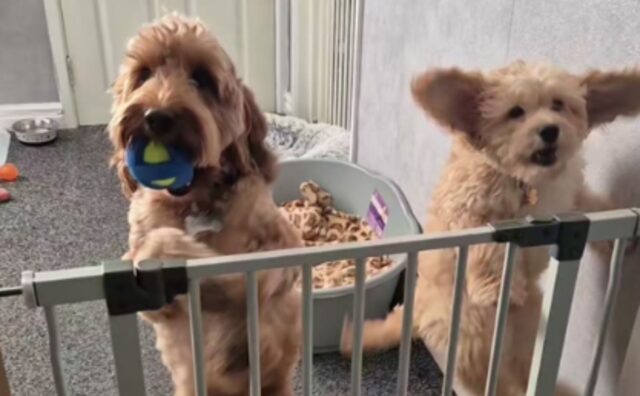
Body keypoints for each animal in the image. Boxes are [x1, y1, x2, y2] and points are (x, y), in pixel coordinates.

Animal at [108, 15, 302, 396]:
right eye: (143, 75)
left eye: (202, 78)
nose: (156, 116)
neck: (194, 201)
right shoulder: (153, 303)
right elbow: (155, 245)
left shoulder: (282, 245)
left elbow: (251, 277)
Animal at [342, 60, 640, 394]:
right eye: (515, 112)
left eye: (558, 105)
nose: (550, 130)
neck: (525, 179)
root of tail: (417, 309)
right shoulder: (468, 213)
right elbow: (489, 248)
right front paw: (498, 287)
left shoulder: (570, 195)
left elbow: (591, 205)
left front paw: (619, 241)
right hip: (469, 341)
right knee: (494, 381)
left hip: (524, 333)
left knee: (520, 370)